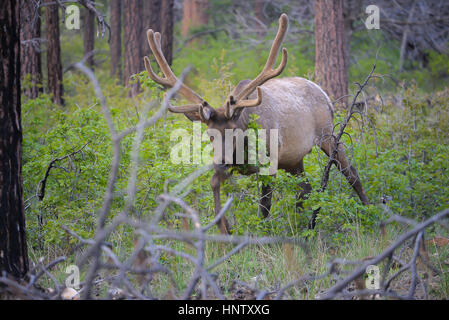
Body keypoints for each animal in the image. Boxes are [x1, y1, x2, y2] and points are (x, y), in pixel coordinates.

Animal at [144, 13, 368, 234]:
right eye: (209, 134)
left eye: (234, 132)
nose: (220, 161)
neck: (244, 151)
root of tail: (324, 94)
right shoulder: (232, 166)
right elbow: (215, 185)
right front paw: (224, 228)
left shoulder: (270, 160)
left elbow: (265, 206)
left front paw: (260, 233)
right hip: (294, 158)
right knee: (305, 187)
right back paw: (305, 226)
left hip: (327, 135)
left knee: (352, 173)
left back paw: (369, 211)